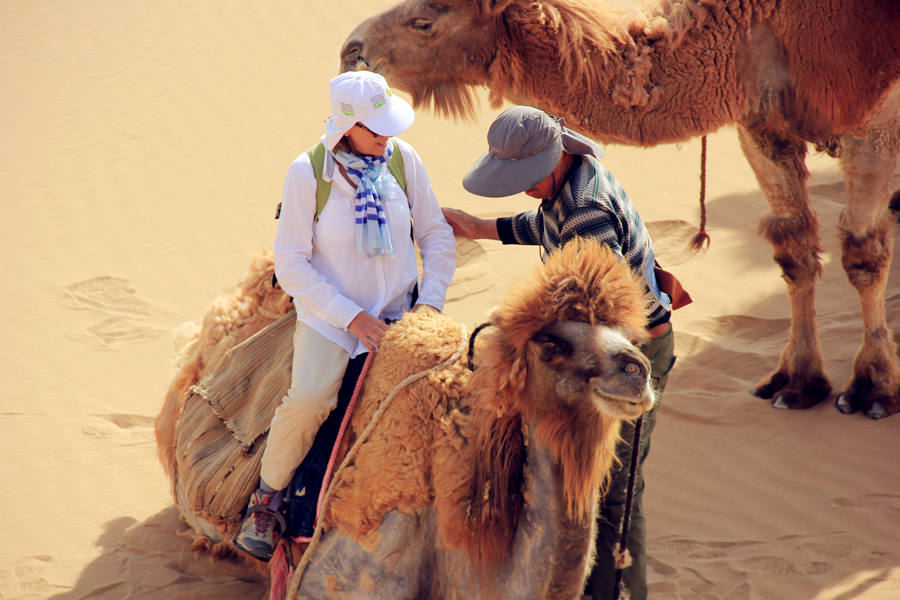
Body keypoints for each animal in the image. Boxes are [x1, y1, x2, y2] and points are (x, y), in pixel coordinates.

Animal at [340, 0, 900, 420]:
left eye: (424, 22)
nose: (351, 49)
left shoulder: (872, 121)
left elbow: (862, 253)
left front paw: (873, 388)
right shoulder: (761, 121)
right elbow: (794, 247)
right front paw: (797, 382)